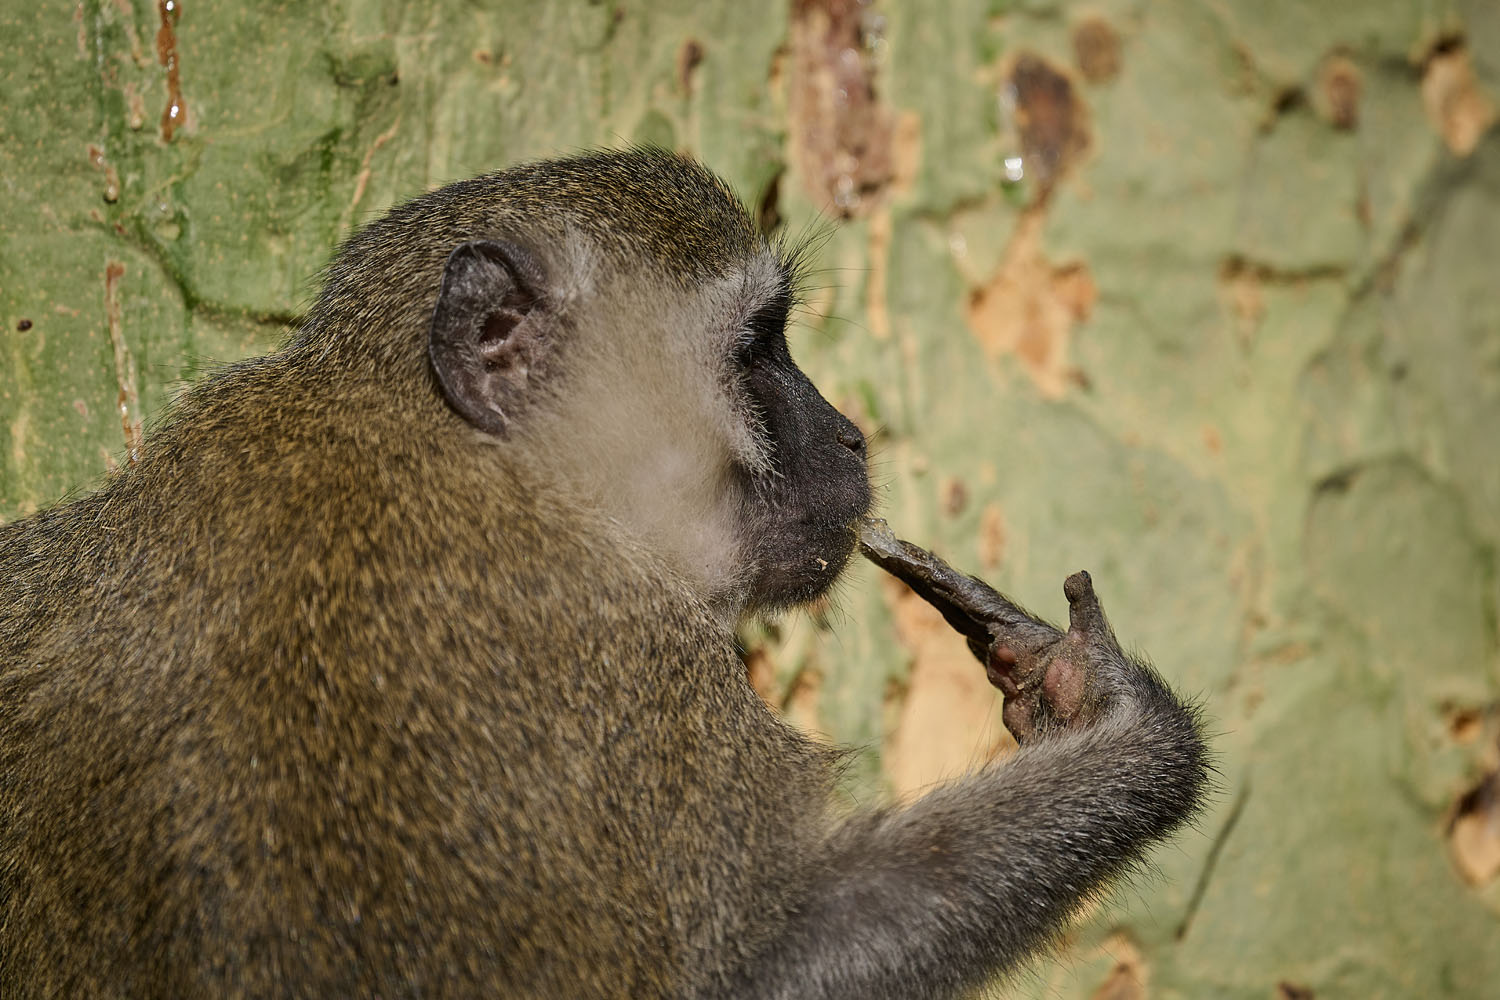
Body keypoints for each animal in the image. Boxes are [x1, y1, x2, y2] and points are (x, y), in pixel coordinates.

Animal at [0, 148, 1209, 999]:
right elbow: (778, 954)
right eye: (758, 350)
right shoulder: (635, 661)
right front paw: (1123, 729)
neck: (437, 441)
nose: (851, 436)